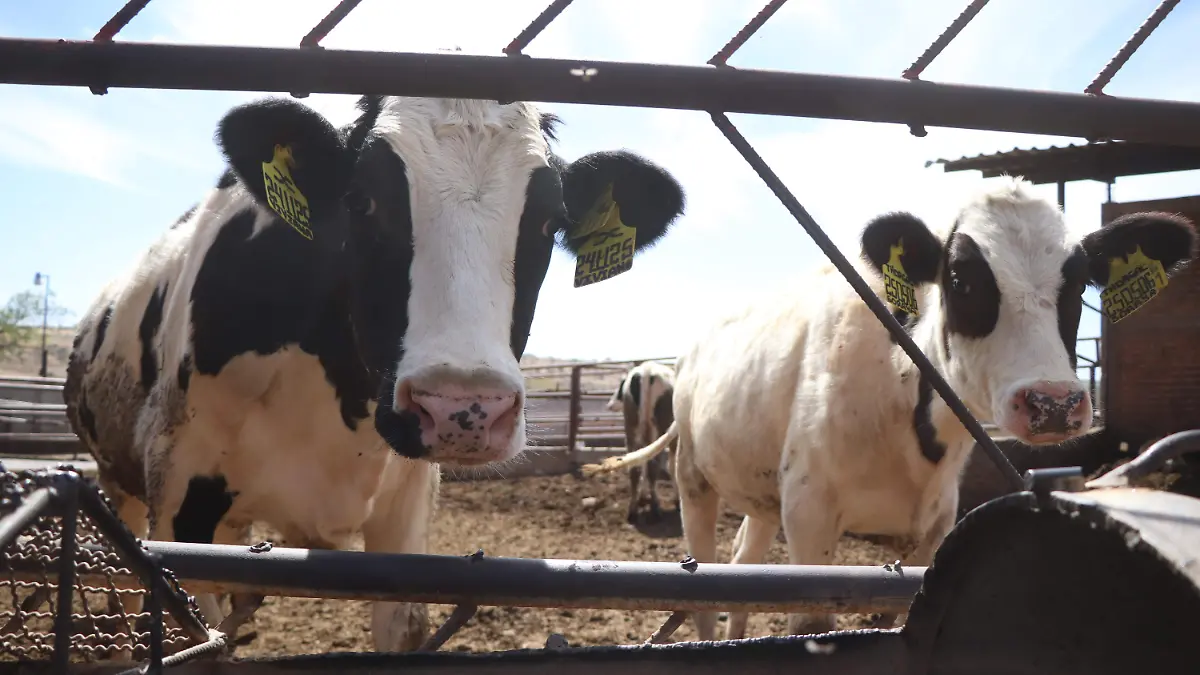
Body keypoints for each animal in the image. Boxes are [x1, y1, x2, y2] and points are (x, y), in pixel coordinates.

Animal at [605, 361, 678, 522]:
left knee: (634, 466)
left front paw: (643, 496)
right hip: (657, 430)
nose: (609, 405)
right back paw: (655, 507)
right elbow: (672, 466)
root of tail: (646, 371)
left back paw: (633, 508)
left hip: (632, 429)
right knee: (652, 466)